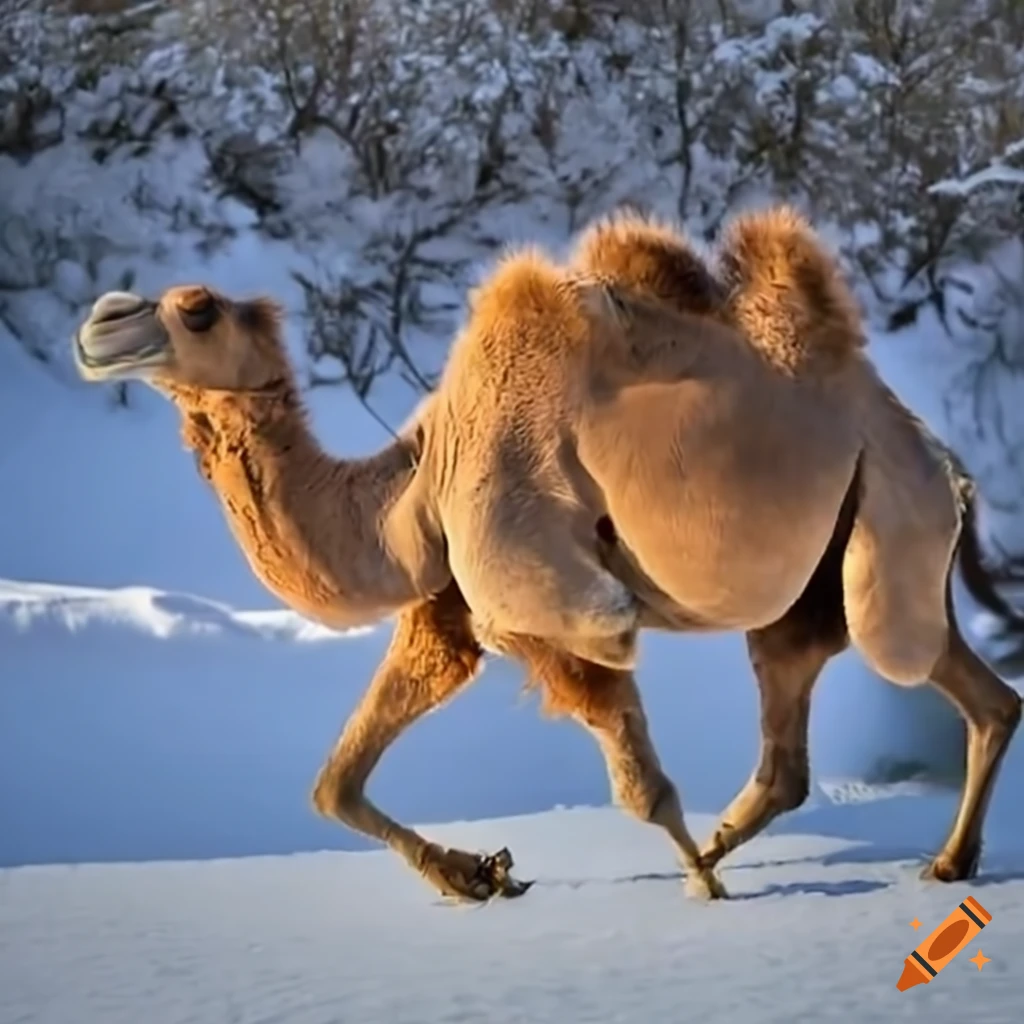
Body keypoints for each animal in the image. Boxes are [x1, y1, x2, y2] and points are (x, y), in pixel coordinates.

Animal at [72, 204, 1022, 903]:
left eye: (197, 308)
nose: (101, 319)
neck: (419, 476)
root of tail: (948, 463)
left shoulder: (559, 600)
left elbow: (639, 780)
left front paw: (702, 892)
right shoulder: (454, 603)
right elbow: (334, 783)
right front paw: (476, 875)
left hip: (891, 528)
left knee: (906, 665)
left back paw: (886, 862)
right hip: (832, 569)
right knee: (867, 711)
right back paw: (931, 859)